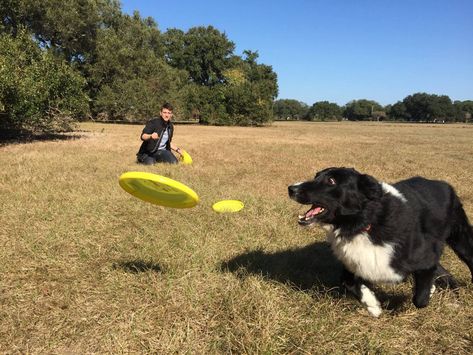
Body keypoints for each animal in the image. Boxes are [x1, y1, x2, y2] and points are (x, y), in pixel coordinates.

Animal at [288, 168, 472, 318]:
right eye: (316, 176)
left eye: (331, 181)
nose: (291, 188)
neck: (366, 223)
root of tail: (444, 184)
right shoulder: (355, 263)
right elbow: (348, 282)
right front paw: (373, 306)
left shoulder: (423, 257)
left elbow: (420, 299)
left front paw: (426, 293)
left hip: (461, 240)